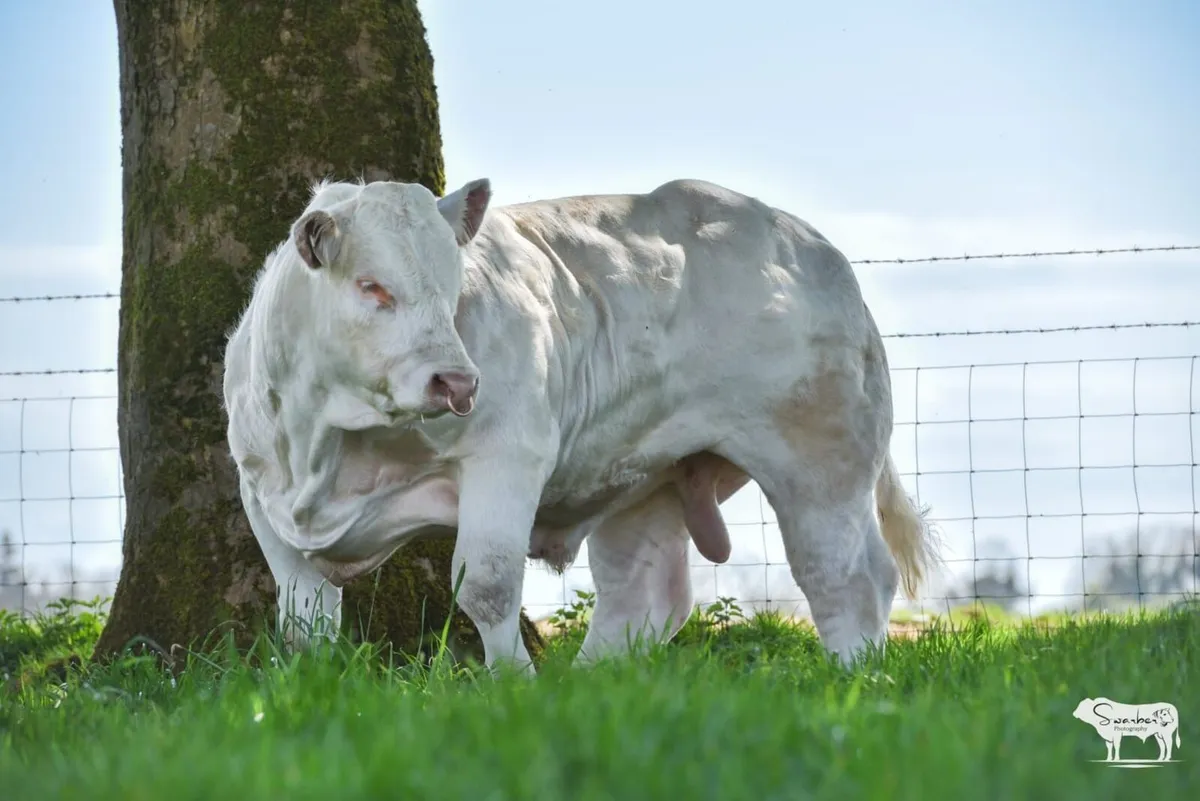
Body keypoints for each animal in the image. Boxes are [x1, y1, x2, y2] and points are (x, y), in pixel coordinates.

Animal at [221, 175, 939, 675]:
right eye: (372, 286)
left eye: (452, 290)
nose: (458, 382)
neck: (324, 442)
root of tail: (804, 240)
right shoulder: (263, 497)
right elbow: (304, 617)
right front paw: (311, 684)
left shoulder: (507, 456)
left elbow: (485, 586)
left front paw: (513, 685)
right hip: (653, 478)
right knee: (642, 592)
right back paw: (595, 684)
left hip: (819, 457)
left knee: (846, 573)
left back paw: (855, 678)